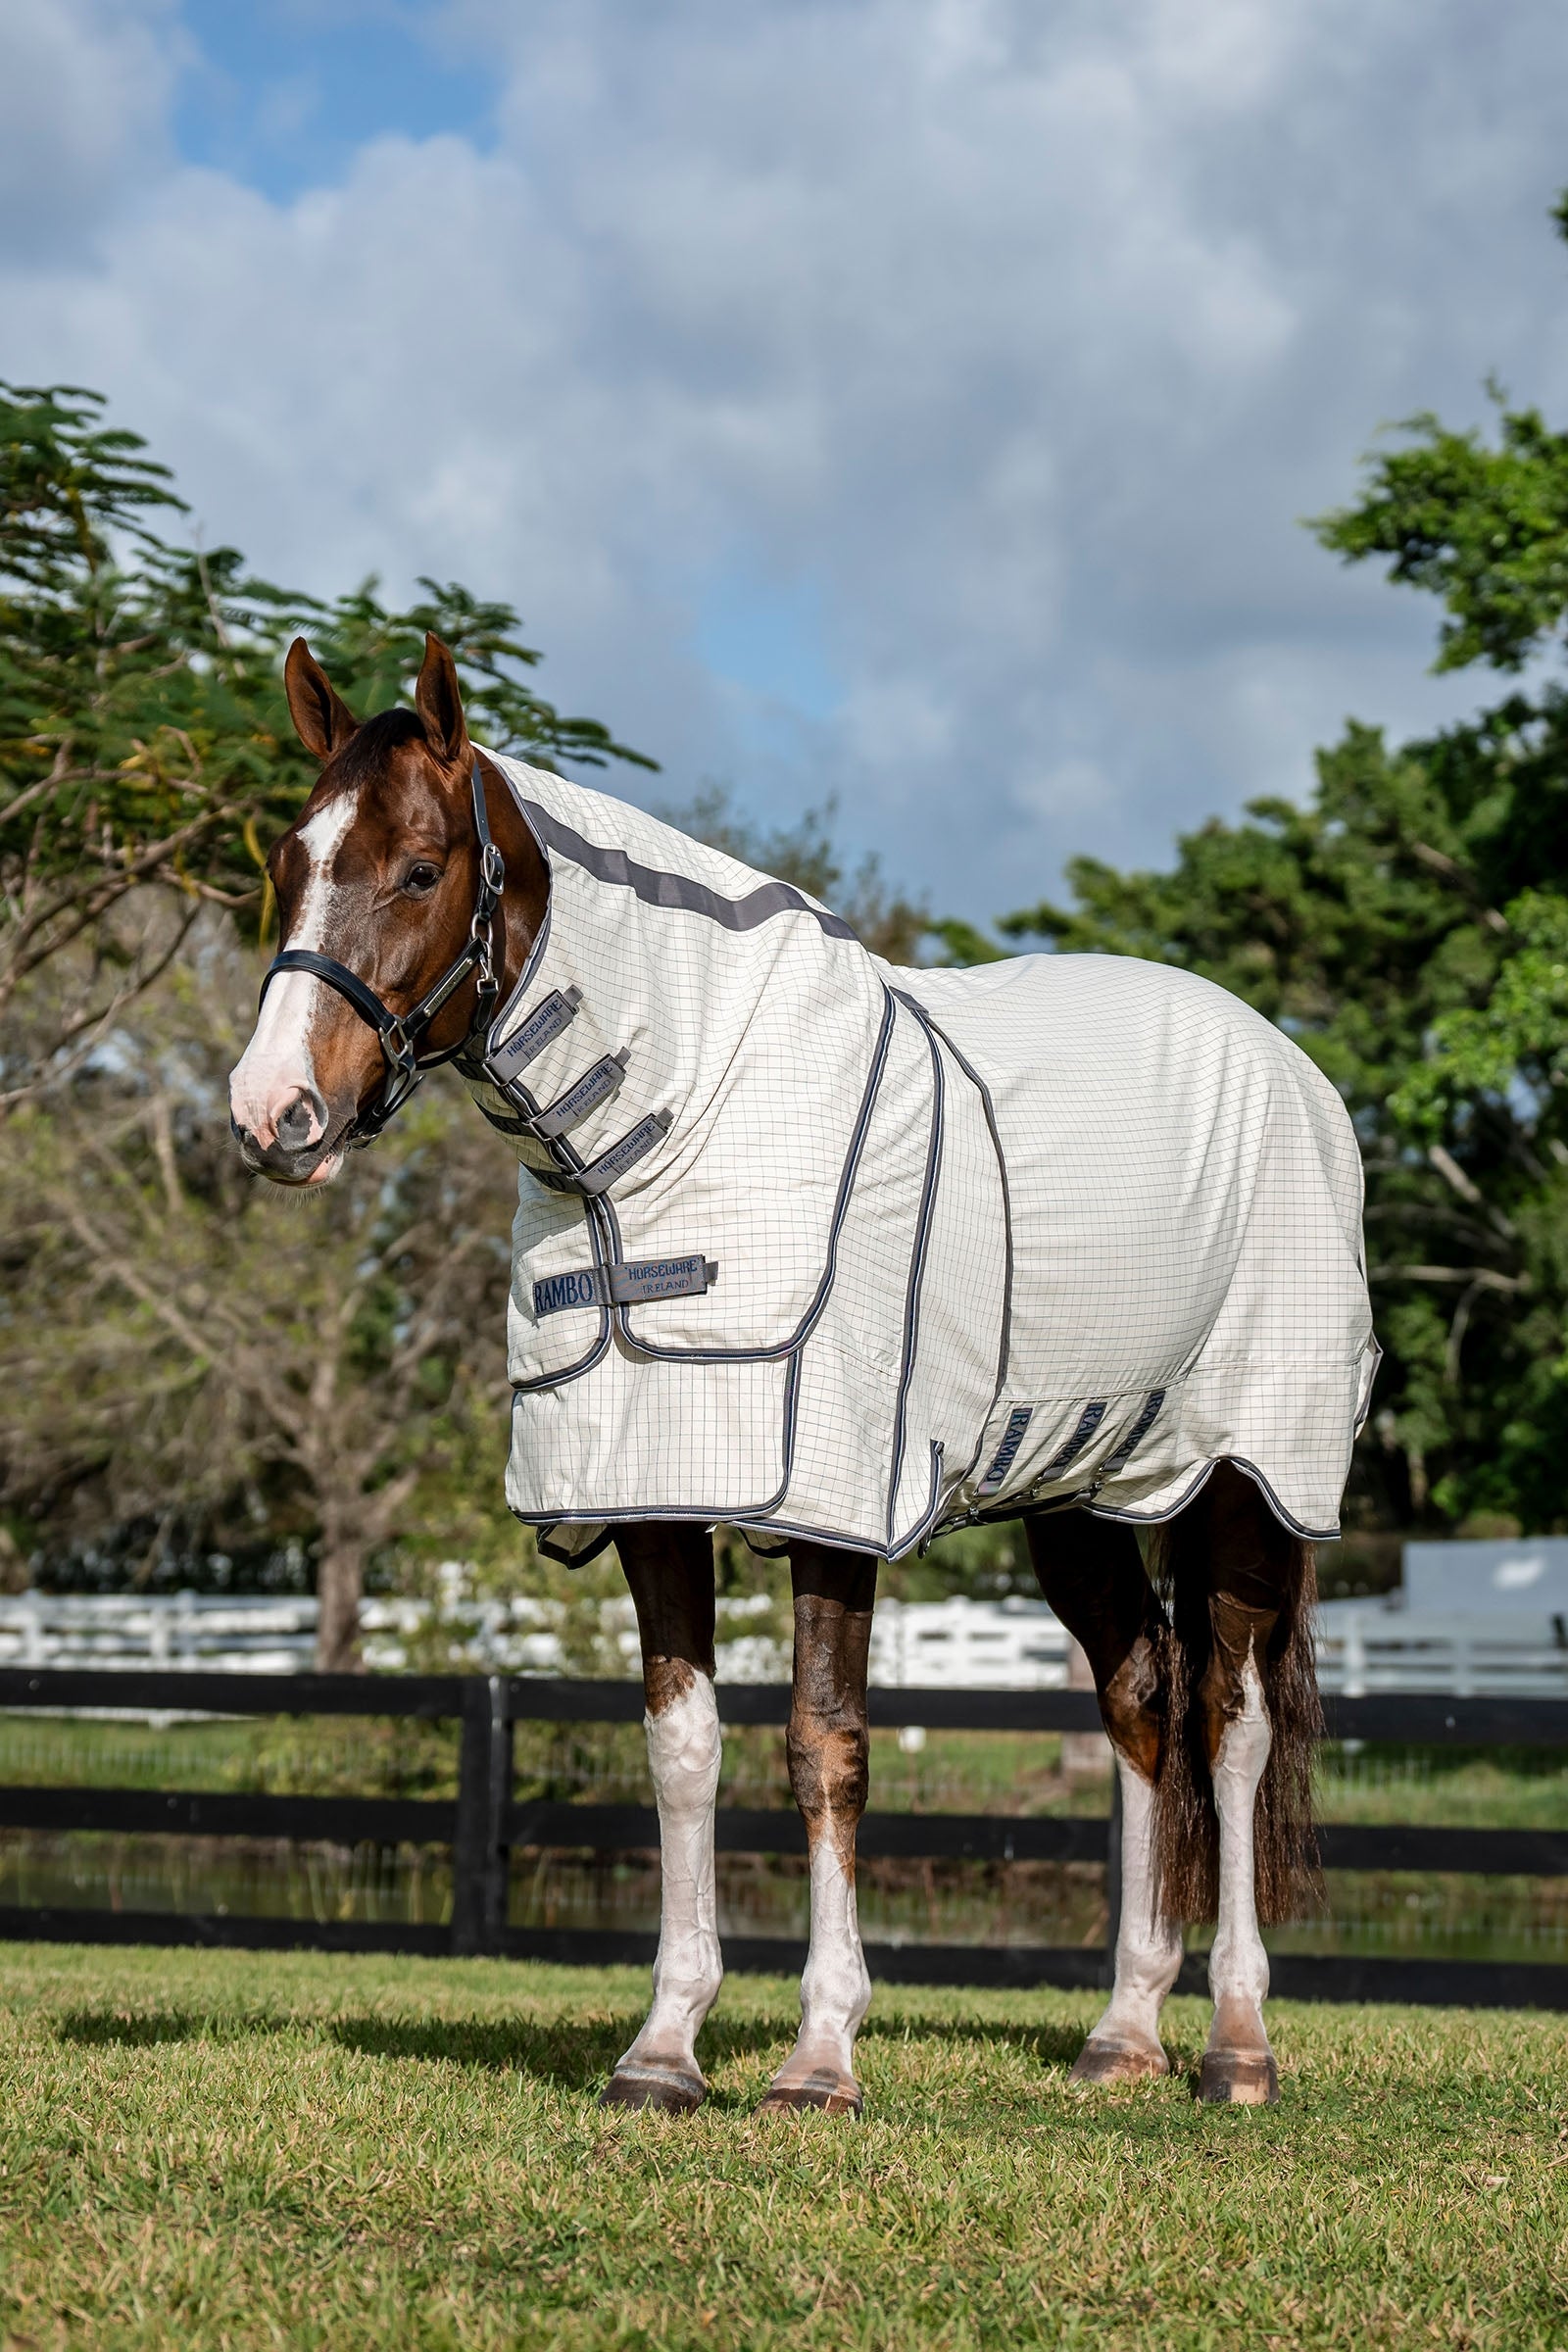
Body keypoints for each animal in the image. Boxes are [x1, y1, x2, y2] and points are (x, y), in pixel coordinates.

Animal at [229, 631, 1376, 2114]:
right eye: (286, 859)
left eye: (421, 869)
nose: (272, 1113)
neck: (668, 1137)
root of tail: (1291, 1069)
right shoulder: (656, 1491)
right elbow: (682, 1752)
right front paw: (664, 2049)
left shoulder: (829, 1502)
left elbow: (824, 1748)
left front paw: (820, 2054)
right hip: (1078, 1490)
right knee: (1140, 1700)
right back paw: (1121, 2032)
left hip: (1247, 1476)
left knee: (1231, 1726)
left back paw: (1236, 2041)